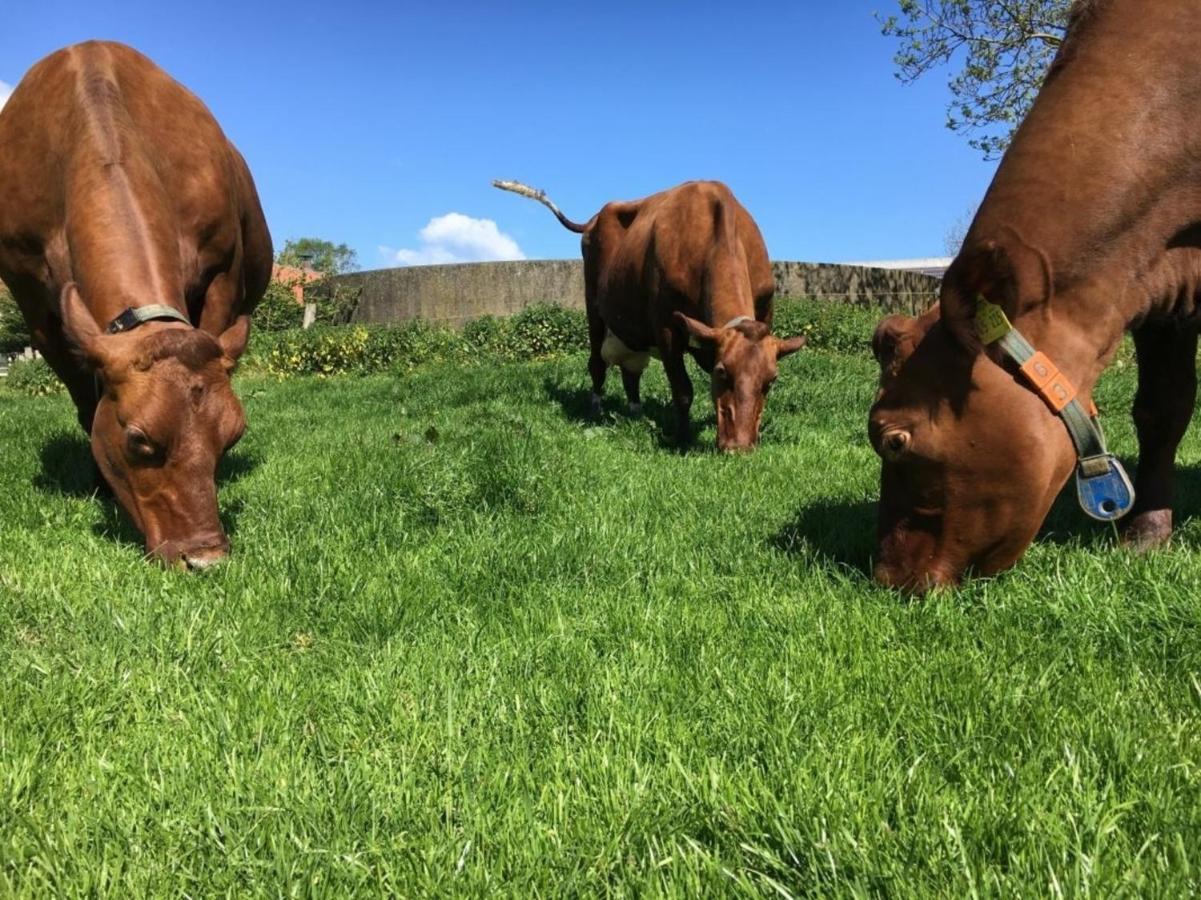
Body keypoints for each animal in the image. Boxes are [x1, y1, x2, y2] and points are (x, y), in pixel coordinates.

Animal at [0, 43, 272, 569]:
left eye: (233, 436)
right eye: (138, 440)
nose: (206, 557)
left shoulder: (223, 273)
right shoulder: (33, 302)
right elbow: (85, 400)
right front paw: (101, 481)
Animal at [492, 180, 802, 451]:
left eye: (772, 379)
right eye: (721, 371)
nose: (738, 447)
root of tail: (593, 219)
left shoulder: (765, 312)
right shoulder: (666, 326)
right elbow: (683, 390)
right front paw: (682, 439)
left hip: (631, 327)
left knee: (631, 371)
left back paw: (636, 413)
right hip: (594, 305)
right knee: (597, 363)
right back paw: (595, 409)